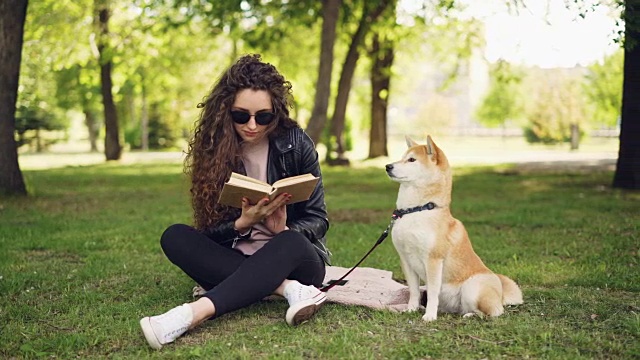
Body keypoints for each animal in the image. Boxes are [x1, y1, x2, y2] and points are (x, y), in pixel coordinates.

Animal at [382, 136, 524, 322]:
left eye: (412, 160)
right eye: (402, 157)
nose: (388, 166)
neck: (417, 210)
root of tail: (500, 292)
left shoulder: (433, 260)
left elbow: (432, 292)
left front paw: (429, 316)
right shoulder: (405, 258)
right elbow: (413, 291)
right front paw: (411, 309)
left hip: (472, 287)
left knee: (493, 312)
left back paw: (471, 315)